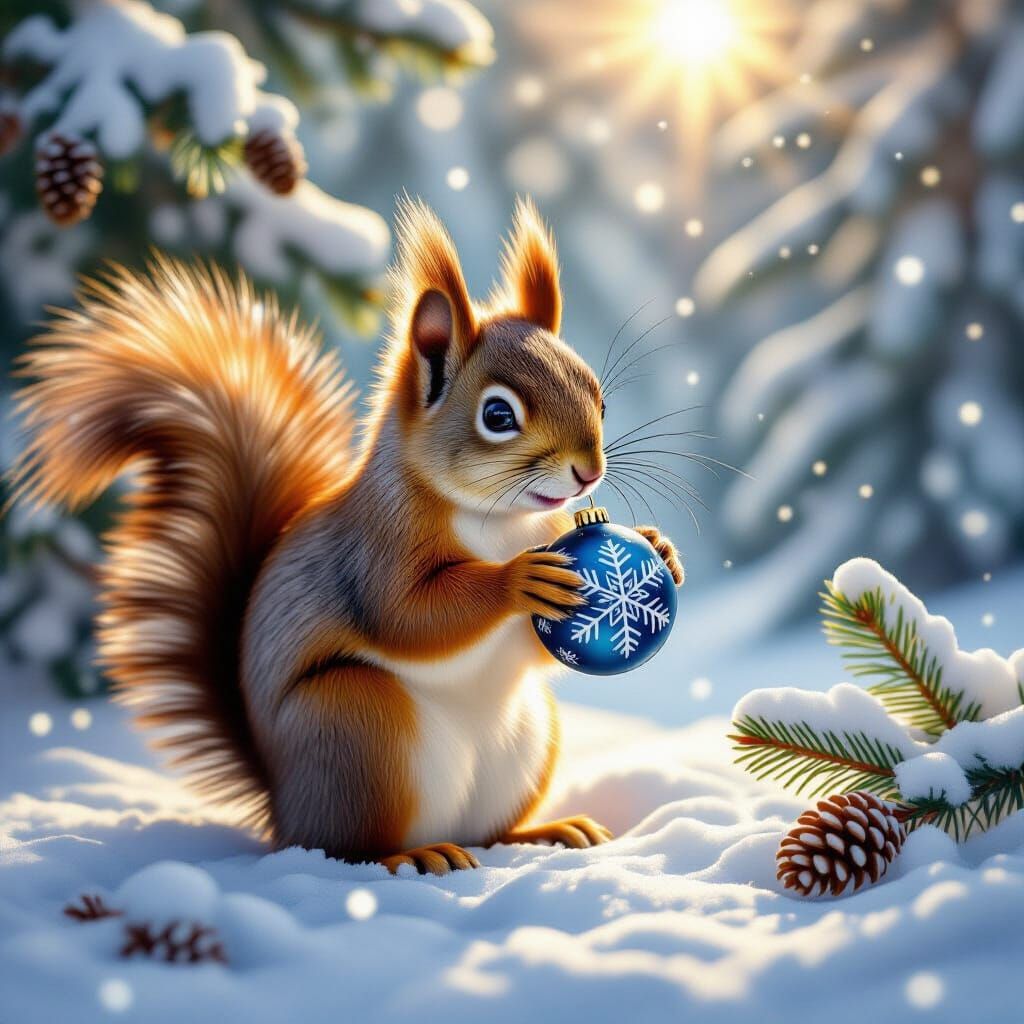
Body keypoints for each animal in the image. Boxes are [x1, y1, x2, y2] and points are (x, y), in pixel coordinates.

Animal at [11, 197, 684, 875]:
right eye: (498, 415)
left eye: (598, 397)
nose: (588, 472)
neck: (502, 521)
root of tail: (283, 807)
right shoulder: (375, 546)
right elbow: (407, 615)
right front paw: (517, 580)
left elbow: (530, 648)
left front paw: (662, 549)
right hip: (357, 725)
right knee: (347, 848)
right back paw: (415, 855)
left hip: (526, 739)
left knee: (488, 830)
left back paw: (544, 832)